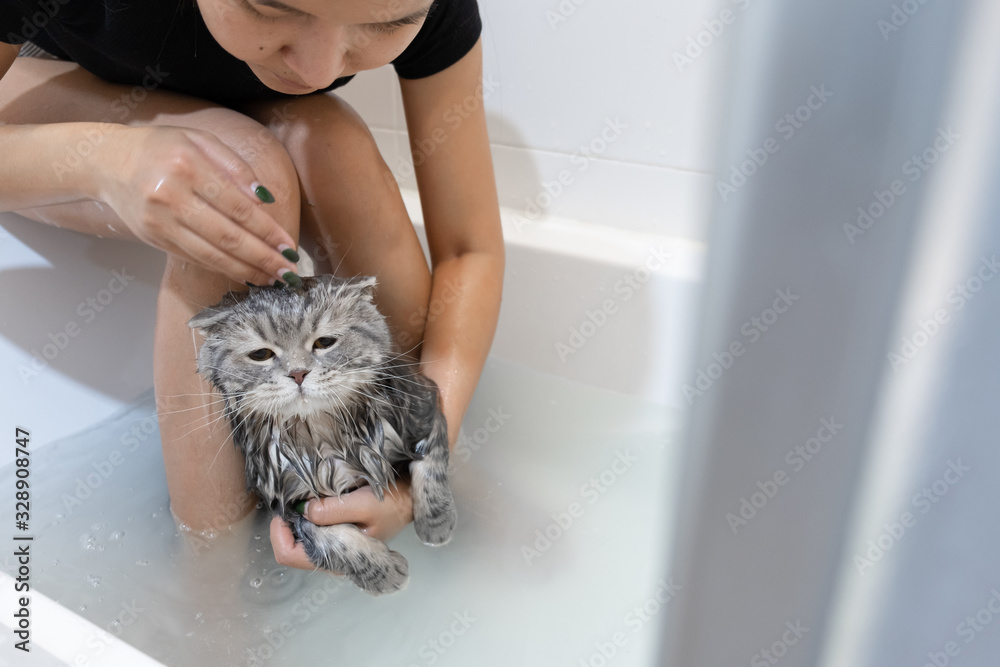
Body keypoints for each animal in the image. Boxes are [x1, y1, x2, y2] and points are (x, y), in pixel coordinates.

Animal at [187, 274, 458, 596]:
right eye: (261, 354)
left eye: (324, 342)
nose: (298, 373)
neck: (320, 431)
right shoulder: (285, 499)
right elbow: (333, 539)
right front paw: (383, 572)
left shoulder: (424, 404)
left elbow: (431, 465)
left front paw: (435, 525)